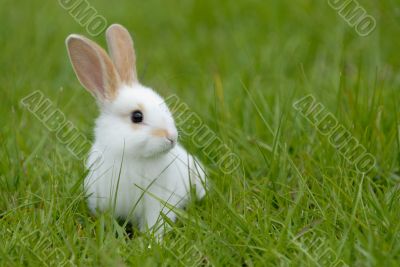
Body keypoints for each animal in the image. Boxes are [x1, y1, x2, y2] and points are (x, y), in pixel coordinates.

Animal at [65, 23, 206, 237]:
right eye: (137, 116)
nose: (171, 137)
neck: (131, 157)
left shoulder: (157, 203)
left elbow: (155, 223)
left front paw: (152, 241)